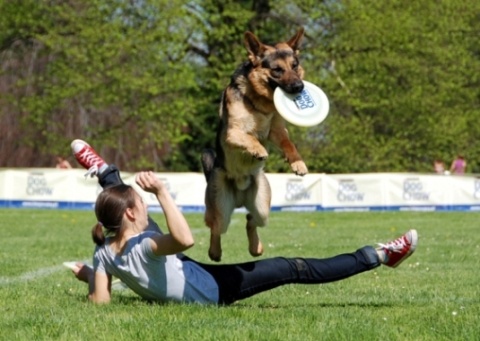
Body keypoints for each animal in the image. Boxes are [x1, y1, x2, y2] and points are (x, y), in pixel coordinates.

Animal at [202, 27, 308, 260]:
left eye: (294, 66)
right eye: (277, 70)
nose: (299, 87)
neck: (261, 103)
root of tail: (240, 198)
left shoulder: (277, 131)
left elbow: (289, 145)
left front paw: (298, 163)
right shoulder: (233, 133)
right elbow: (249, 137)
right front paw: (258, 150)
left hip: (262, 208)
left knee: (250, 220)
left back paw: (255, 247)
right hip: (221, 209)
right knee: (215, 228)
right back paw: (214, 252)